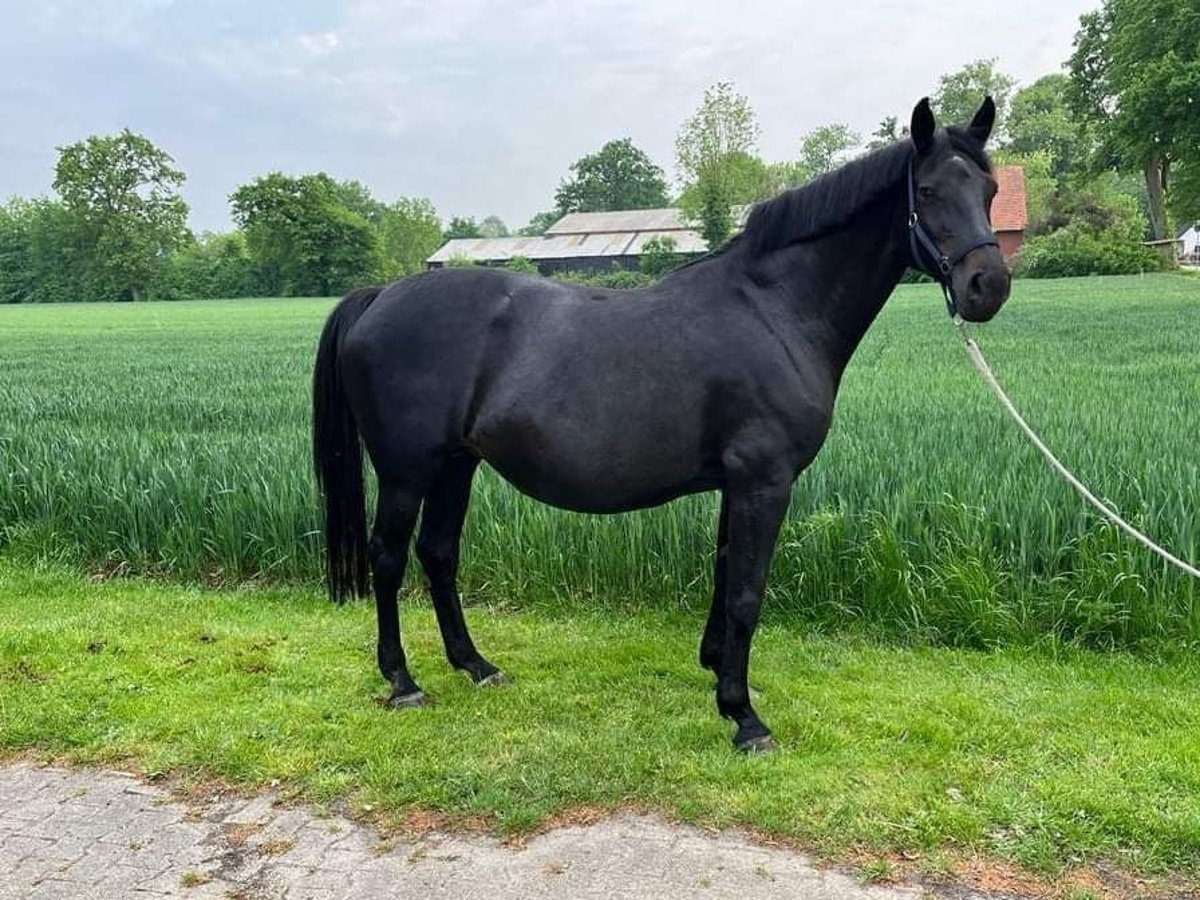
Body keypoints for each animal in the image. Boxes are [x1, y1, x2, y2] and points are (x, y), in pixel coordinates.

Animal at [314, 97, 1008, 753]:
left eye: (989, 189)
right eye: (928, 192)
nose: (988, 285)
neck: (775, 309)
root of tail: (380, 296)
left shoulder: (739, 483)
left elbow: (727, 574)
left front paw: (718, 671)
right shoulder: (765, 480)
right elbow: (748, 592)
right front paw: (744, 718)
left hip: (457, 464)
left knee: (439, 553)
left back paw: (476, 666)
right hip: (406, 473)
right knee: (388, 559)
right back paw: (402, 681)